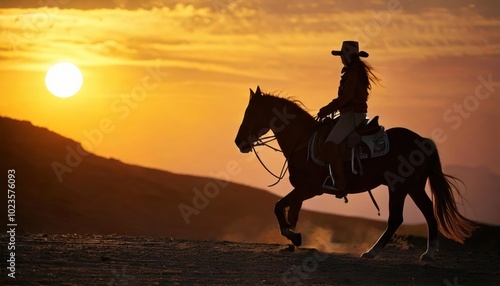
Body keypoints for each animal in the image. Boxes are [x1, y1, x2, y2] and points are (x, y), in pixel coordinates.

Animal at [234, 86, 476, 260]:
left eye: (250, 113)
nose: (239, 142)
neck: (302, 141)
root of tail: (423, 140)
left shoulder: (309, 189)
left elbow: (278, 207)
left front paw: (292, 236)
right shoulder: (301, 190)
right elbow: (291, 213)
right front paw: (293, 240)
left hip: (398, 186)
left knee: (396, 218)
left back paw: (371, 252)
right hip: (414, 186)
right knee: (428, 211)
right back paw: (428, 253)